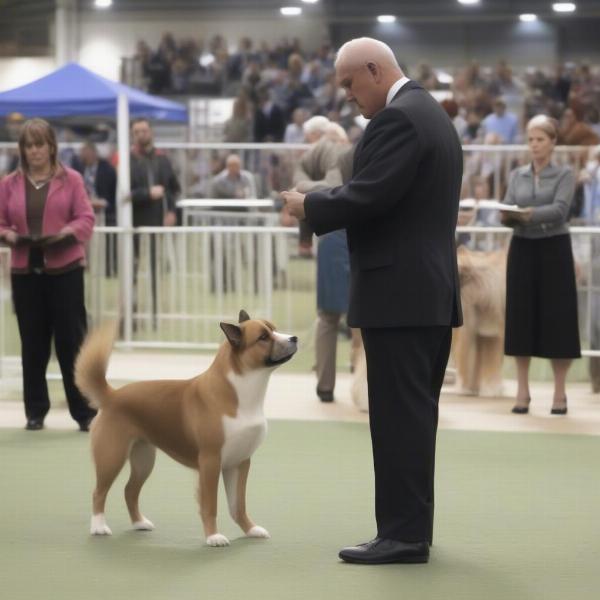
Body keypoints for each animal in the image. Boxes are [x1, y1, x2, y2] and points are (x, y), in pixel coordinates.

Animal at [75, 312, 298, 548]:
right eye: (263, 337)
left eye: (275, 329)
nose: (294, 338)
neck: (238, 393)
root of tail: (112, 396)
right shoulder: (210, 462)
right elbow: (211, 504)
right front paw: (213, 536)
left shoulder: (240, 463)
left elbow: (238, 505)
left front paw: (250, 529)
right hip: (112, 457)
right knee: (99, 492)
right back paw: (99, 527)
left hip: (144, 459)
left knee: (130, 491)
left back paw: (139, 523)